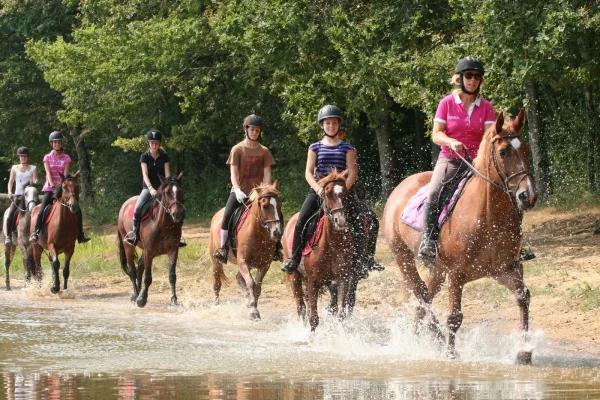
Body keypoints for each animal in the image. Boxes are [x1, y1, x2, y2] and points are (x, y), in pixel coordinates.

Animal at [116, 173, 184, 308]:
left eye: (180, 191)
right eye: (167, 192)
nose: (177, 214)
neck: (163, 225)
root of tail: (125, 204)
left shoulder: (173, 250)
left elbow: (172, 275)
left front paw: (174, 300)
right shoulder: (149, 251)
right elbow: (148, 277)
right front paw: (142, 300)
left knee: (139, 266)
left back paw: (136, 294)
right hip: (129, 247)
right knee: (133, 270)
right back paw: (136, 295)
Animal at [210, 180, 284, 318]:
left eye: (280, 205)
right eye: (265, 206)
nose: (277, 232)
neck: (257, 233)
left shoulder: (264, 264)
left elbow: (257, 286)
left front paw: (253, 306)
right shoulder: (243, 261)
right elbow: (250, 283)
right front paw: (254, 311)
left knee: (239, 277)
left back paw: (247, 301)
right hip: (216, 260)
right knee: (217, 283)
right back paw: (217, 305)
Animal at [284, 171, 354, 332]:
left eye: (345, 193)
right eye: (327, 194)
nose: (340, 220)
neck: (331, 244)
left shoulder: (343, 278)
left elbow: (340, 314)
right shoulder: (313, 281)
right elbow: (314, 318)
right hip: (294, 276)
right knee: (301, 308)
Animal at [384, 109, 540, 362]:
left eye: (526, 150)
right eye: (503, 152)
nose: (528, 196)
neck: (488, 217)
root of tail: (400, 188)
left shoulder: (505, 269)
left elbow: (522, 296)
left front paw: (524, 351)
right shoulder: (457, 275)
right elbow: (455, 316)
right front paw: (451, 353)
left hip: (437, 269)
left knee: (424, 298)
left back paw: (421, 337)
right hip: (403, 258)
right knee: (420, 293)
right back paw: (436, 338)